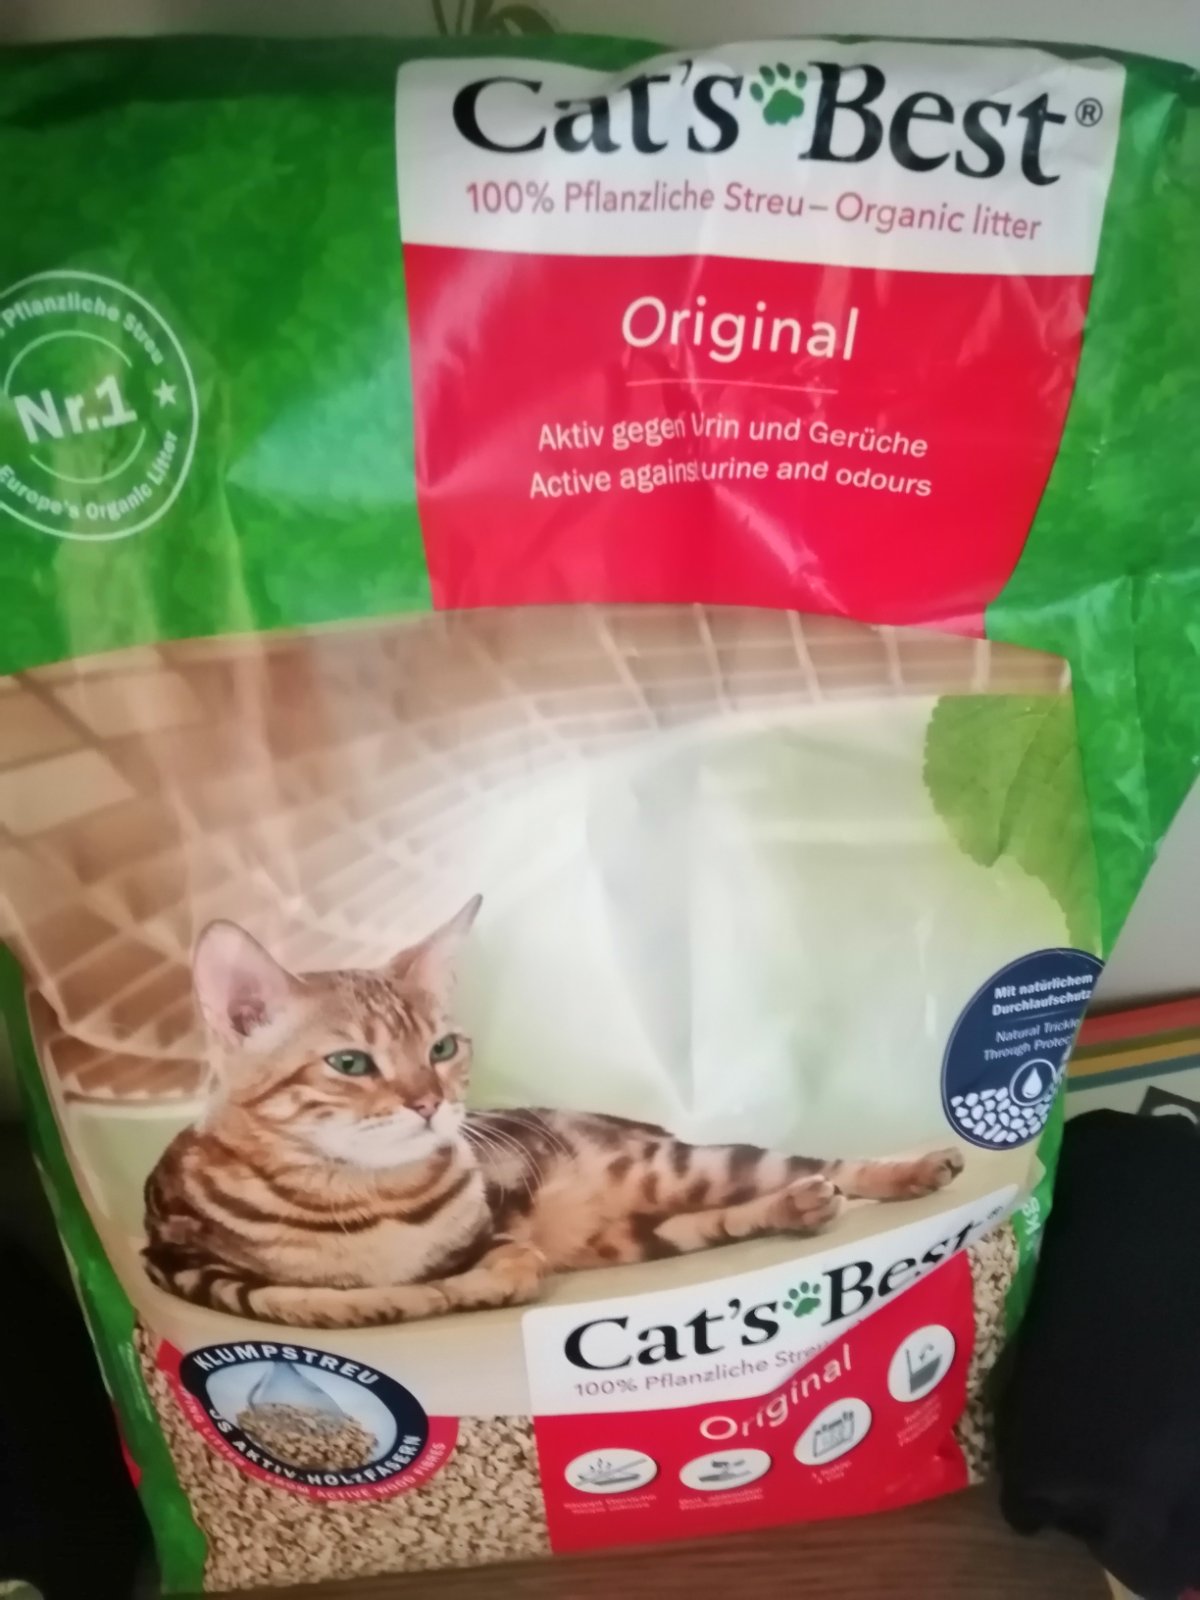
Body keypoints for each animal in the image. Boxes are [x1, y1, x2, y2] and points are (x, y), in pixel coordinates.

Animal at [142, 897, 964, 1329]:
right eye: (350, 1064)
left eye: (442, 1047)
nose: (431, 1103)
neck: (371, 1198)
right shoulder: (181, 1263)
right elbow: (311, 1297)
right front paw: (409, 1295)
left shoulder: (495, 1231)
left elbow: (496, 1265)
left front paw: (462, 1283)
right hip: (648, 1230)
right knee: (739, 1212)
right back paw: (799, 1207)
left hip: (690, 1167)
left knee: (824, 1163)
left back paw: (915, 1169)